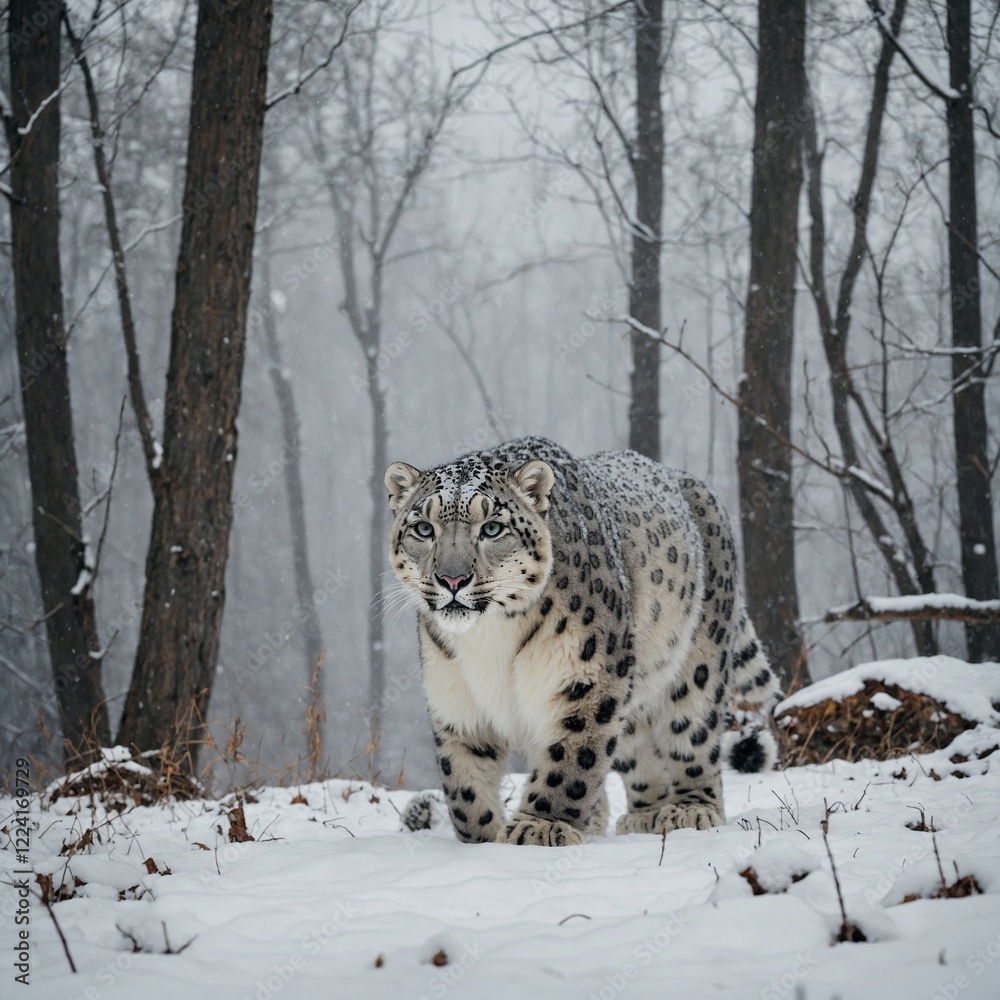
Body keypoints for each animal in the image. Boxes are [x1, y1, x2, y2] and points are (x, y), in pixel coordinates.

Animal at [384, 437, 780, 847]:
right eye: (424, 528)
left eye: (492, 528)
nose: (452, 579)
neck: (489, 639)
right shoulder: (456, 698)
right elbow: (464, 783)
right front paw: (482, 840)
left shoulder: (590, 677)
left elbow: (573, 758)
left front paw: (539, 827)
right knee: (637, 749)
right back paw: (642, 816)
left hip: (698, 665)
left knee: (692, 733)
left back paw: (689, 810)